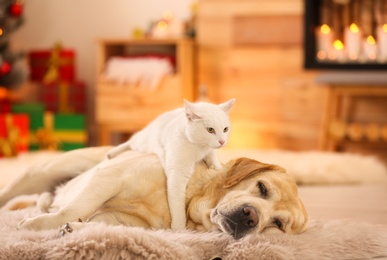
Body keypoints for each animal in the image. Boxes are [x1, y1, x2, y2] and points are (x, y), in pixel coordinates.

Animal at [0, 146, 310, 238]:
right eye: (262, 188)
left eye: (277, 224)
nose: (250, 218)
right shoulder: (110, 178)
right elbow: (75, 209)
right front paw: (36, 226)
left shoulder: (124, 220)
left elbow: (104, 224)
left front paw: (74, 229)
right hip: (38, 174)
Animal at [107, 98, 238, 231]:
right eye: (210, 130)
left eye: (225, 129)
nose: (222, 141)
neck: (199, 148)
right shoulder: (177, 173)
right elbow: (177, 205)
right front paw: (179, 229)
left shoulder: (210, 151)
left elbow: (214, 160)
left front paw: (218, 168)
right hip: (142, 142)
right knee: (130, 141)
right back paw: (111, 153)